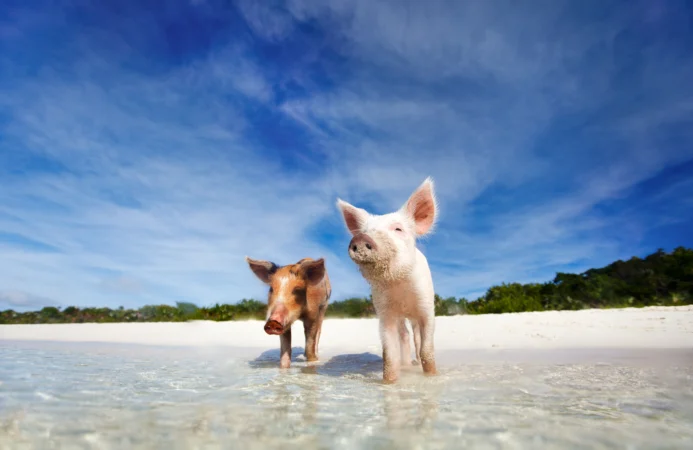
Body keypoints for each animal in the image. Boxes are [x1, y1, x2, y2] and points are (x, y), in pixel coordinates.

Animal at [336, 177, 439, 383]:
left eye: (398, 228)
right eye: (365, 230)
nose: (360, 238)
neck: (398, 284)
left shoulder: (426, 305)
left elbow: (426, 349)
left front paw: (432, 376)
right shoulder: (384, 311)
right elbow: (389, 354)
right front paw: (389, 383)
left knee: (416, 336)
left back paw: (415, 363)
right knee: (404, 336)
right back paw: (407, 365)